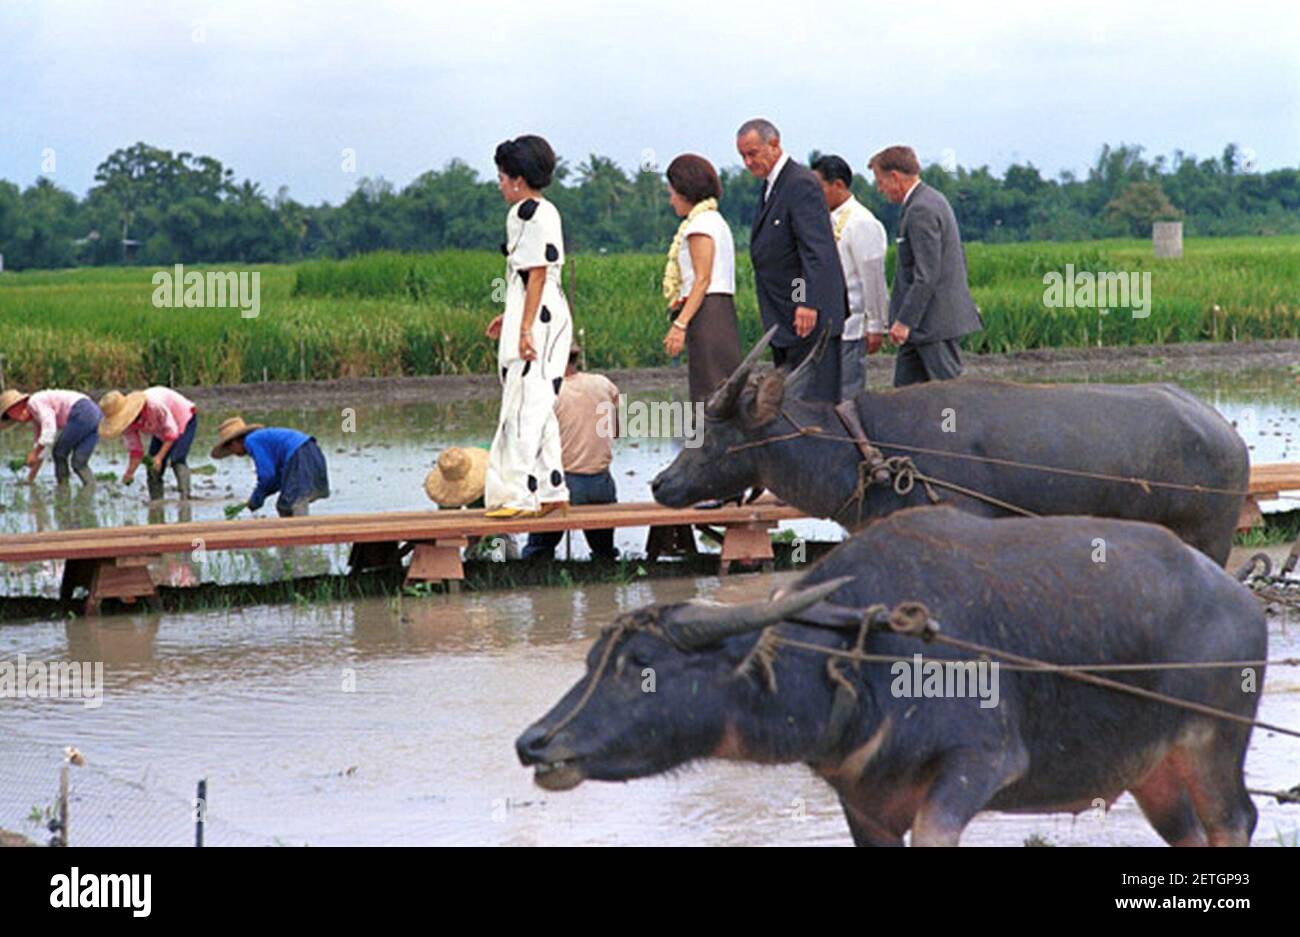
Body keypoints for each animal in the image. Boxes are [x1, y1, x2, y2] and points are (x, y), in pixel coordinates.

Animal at [512, 506, 1263, 842]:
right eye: (591, 662)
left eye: (641, 666)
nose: (534, 741)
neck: (861, 663)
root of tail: (1235, 595)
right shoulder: (865, 805)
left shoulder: (978, 765)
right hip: (1153, 772)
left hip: (1212, 745)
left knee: (1235, 820)